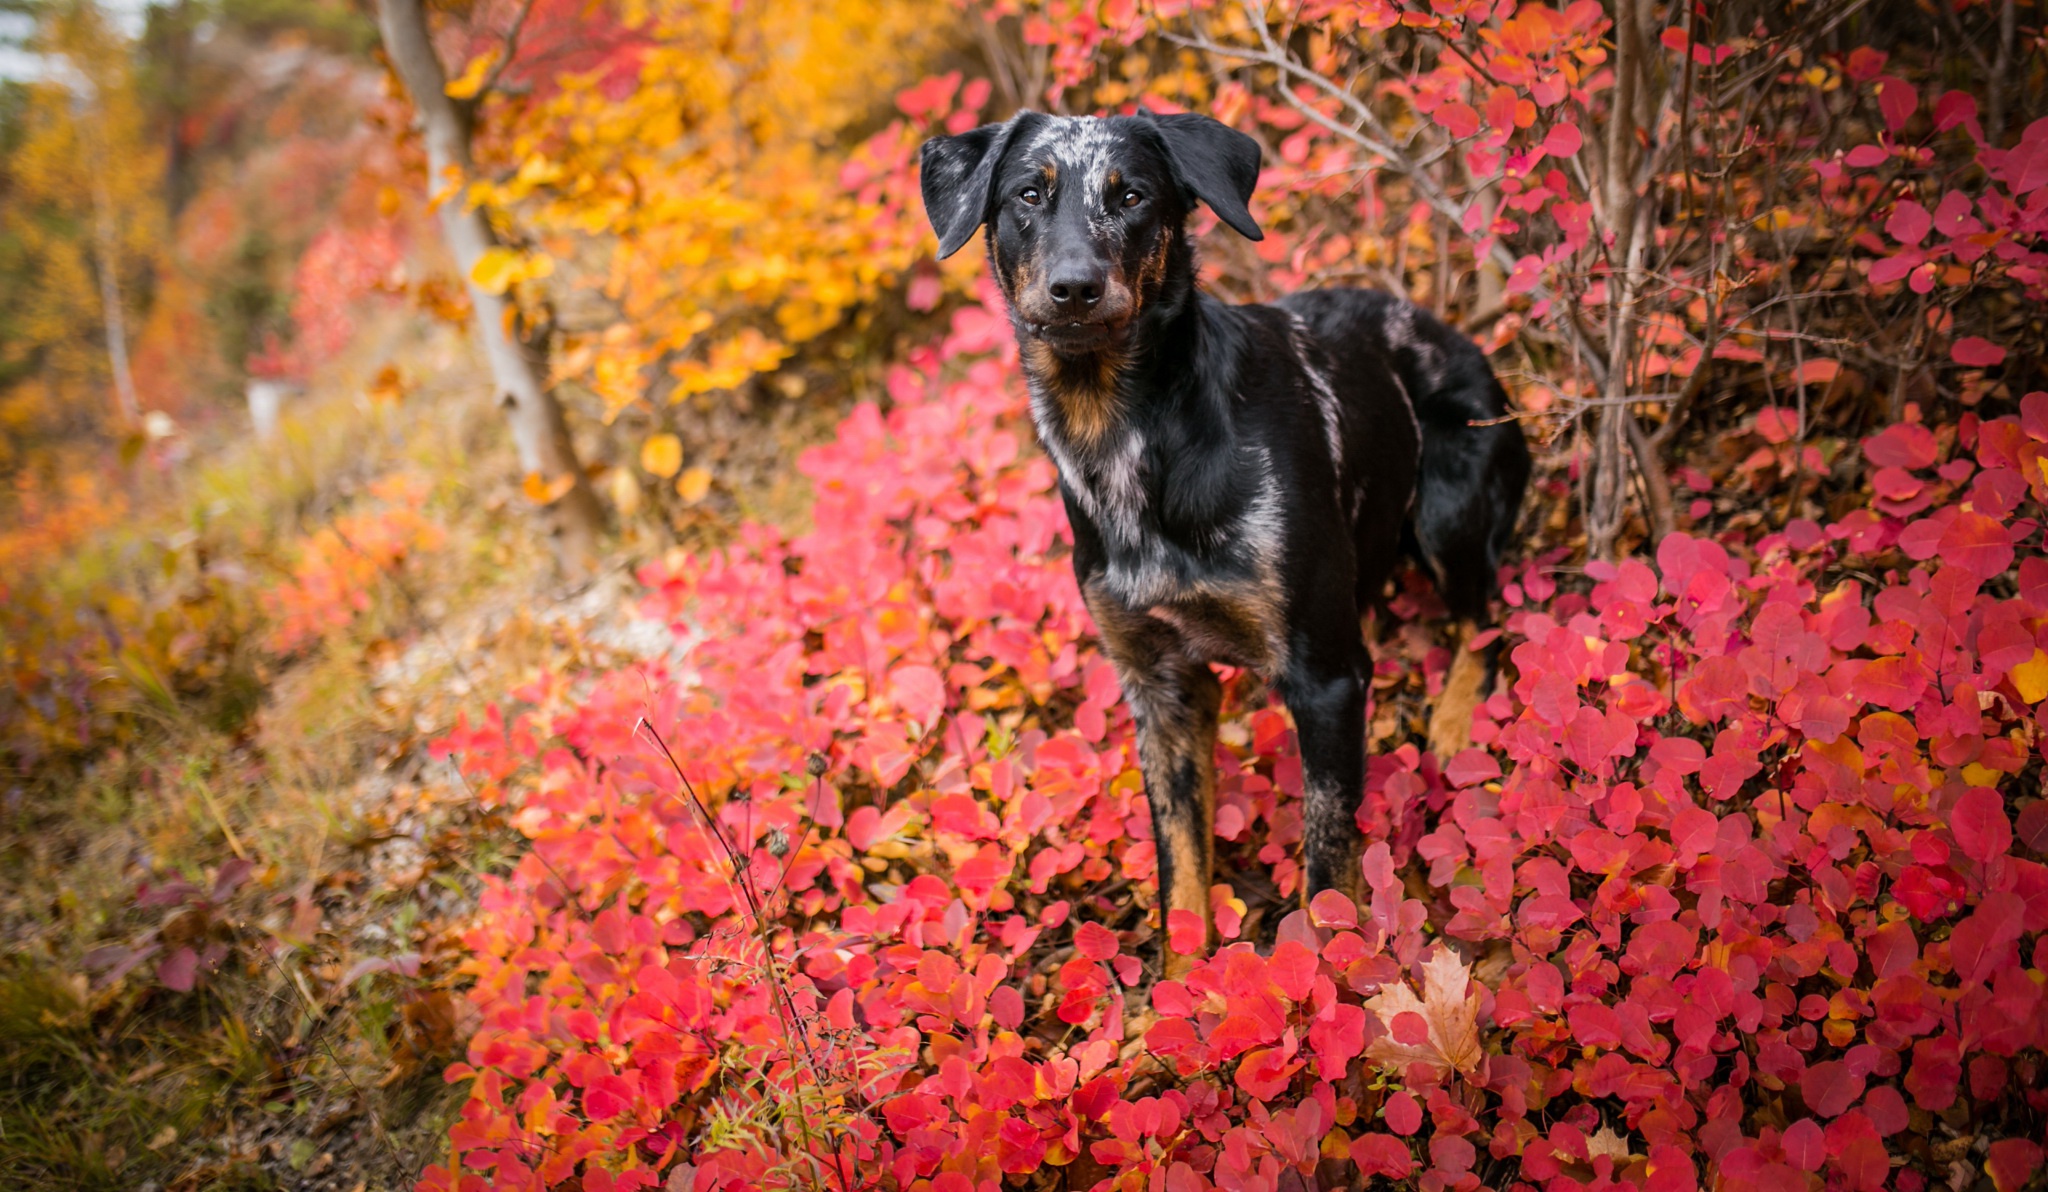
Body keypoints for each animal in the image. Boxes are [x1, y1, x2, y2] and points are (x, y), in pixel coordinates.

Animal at [921, 107, 1531, 974]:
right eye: (1028, 196)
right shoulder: (1161, 688)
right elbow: (1180, 869)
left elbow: (1328, 863)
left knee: (1484, 615)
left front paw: (1327, 983)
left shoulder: (1325, 676)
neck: (1123, 435)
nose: (1075, 286)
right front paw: (1182, 995)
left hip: (1449, 497)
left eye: (1133, 196)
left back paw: (1451, 721)